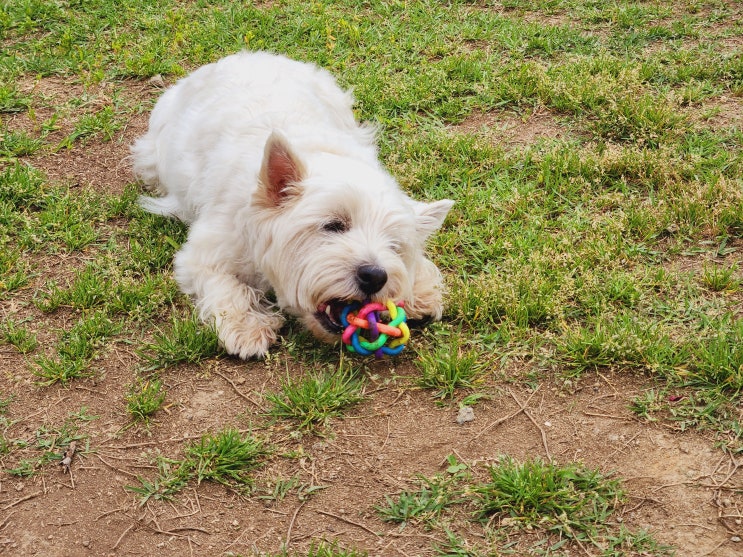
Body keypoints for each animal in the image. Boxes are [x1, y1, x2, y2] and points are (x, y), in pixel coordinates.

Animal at [132, 51, 454, 356]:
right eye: (333, 225)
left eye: (394, 245)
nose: (375, 276)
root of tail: (245, 56)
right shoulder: (204, 251)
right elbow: (222, 283)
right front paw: (246, 327)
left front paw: (419, 289)